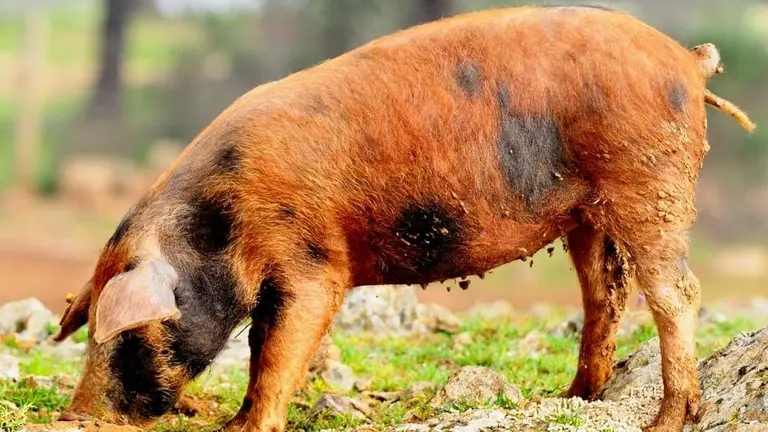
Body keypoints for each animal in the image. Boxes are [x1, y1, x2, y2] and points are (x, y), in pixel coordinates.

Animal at [52, 5, 755, 432]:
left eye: (126, 333)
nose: (76, 414)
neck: (219, 223)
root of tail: (686, 61)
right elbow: (264, 347)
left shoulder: (312, 261)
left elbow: (275, 345)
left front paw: (244, 426)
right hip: (588, 209)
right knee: (605, 292)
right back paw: (572, 398)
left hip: (650, 180)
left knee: (676, 290)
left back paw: (667, 417)